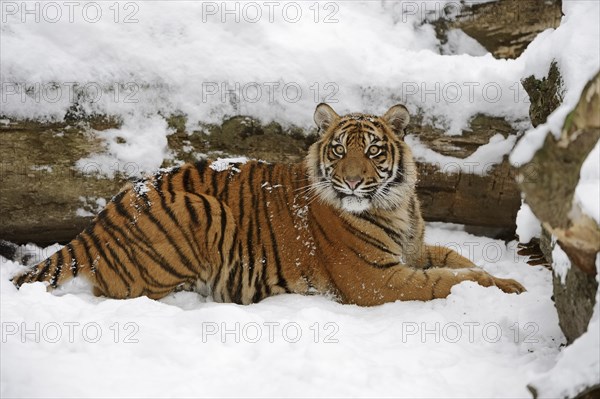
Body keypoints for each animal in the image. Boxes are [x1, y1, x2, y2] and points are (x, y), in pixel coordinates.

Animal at [9, 104, 524, 306]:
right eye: (340, 150)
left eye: (374, 151)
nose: (353, 181)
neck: (396, 205)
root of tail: (98, 221)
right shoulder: (377, 281)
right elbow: (448, 280)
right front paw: (500, 286)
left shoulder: (414, 250)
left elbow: (456, 258)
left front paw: (505, 278)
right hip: (203, 211)